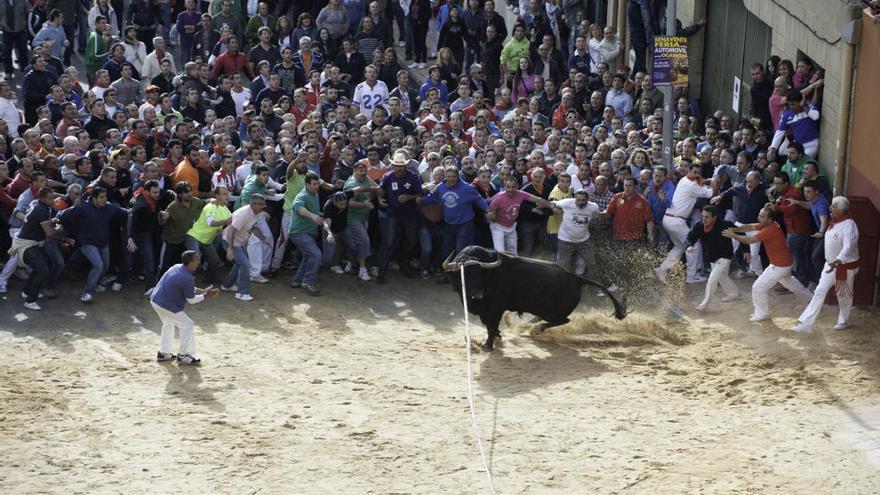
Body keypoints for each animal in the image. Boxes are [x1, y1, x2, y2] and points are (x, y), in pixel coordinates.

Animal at [446, 246, 624, 350]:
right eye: (463, 274)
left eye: (478, 272)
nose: (478, 292)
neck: (490, 275)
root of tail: (576, 278)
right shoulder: (484, 310)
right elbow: (489, 326)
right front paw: (497, 336)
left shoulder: (496, 308)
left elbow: (491, 326)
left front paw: (488, 345)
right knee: (548, 318)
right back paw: (529, 326)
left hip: (553, 312)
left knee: (563, 320)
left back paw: (536, 329)